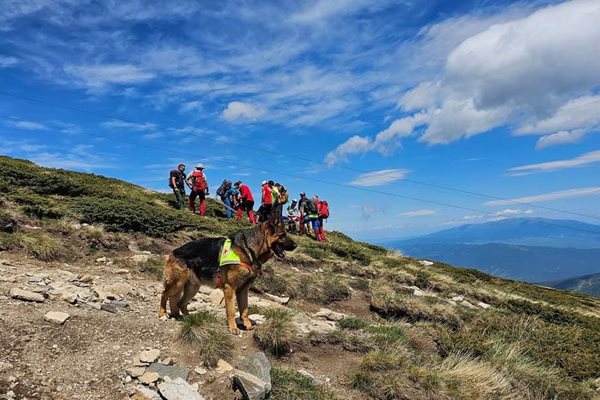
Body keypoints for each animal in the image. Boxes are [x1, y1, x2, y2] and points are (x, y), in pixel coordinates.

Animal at [158, 206, 296, 334]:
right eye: (282, 236)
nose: (296, 245)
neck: (248, 249)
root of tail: (175, 251)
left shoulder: (243, 290)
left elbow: (244, 310)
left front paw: (247, 326)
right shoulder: (230, 288)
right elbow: (231, 311)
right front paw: (233, 328)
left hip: (193, 288)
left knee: (180, 303)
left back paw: (187, 318)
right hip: (177, 284)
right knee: (164, 295)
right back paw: (162, 313)